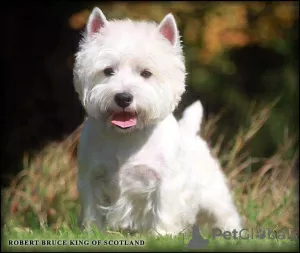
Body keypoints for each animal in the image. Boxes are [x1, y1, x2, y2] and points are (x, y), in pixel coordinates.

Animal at [74, 6, 243, 235]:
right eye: (108, 71)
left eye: (146, 73)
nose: (123, 97)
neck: (126, 137)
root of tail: (189, 131)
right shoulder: (90, 177)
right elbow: (92, 211)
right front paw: (92, 233)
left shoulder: (165, 182)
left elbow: (163, 212)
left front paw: (161, 235)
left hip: (214, 195)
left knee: (227, 215)